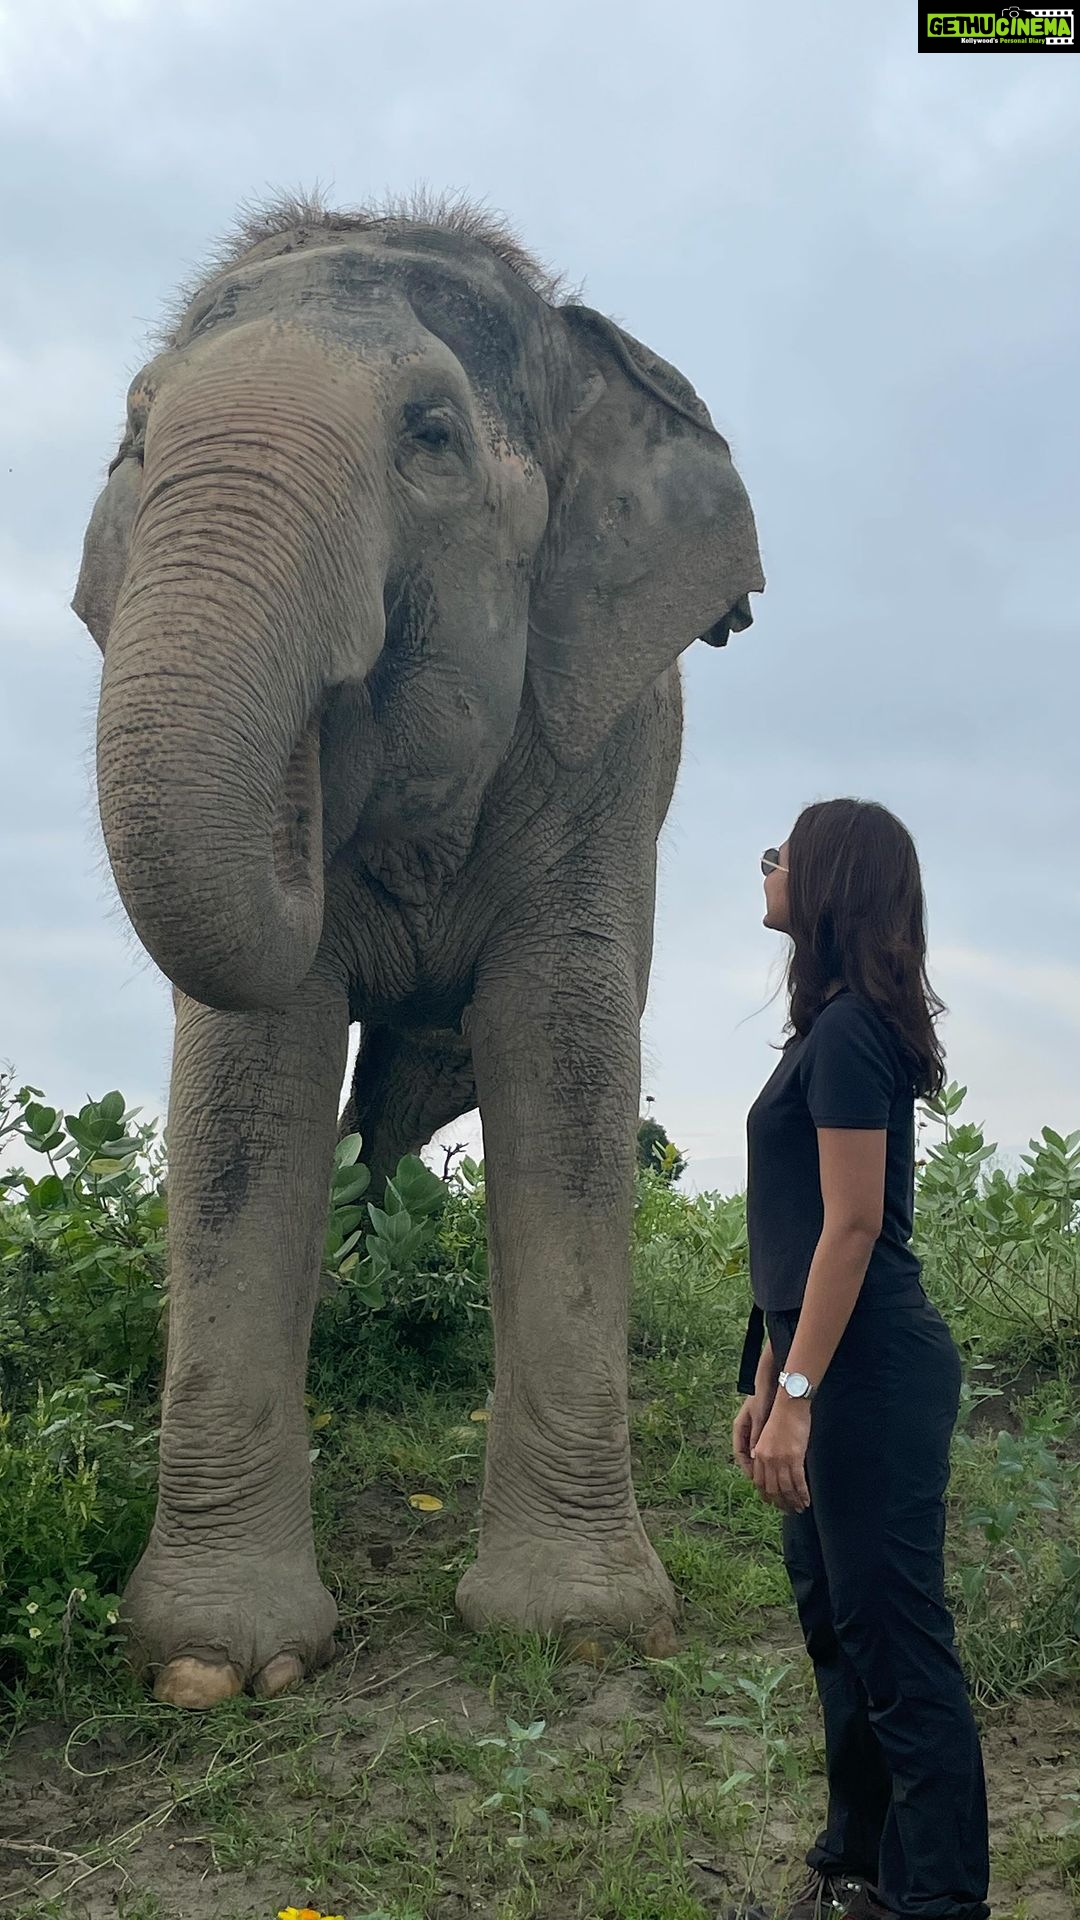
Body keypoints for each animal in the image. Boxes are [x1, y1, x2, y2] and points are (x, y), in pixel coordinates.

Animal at [73, 192, 763, 1710]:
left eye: (433, 435)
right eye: (138, 437)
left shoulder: (600, 761)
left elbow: (561, 1056)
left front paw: (578, 1635)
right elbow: (250, 1079)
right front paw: (218, 1670)